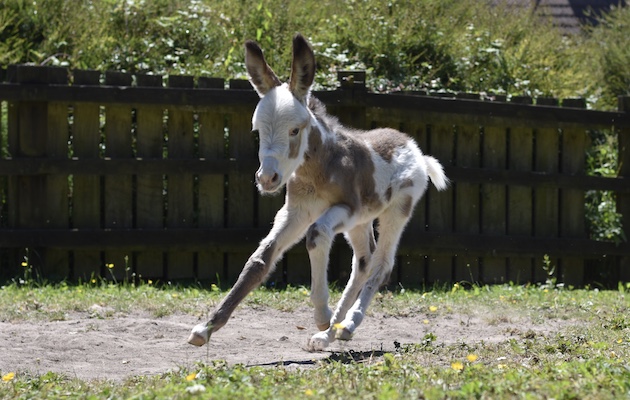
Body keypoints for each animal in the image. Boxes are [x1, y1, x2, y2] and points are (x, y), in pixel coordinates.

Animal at [188, 34, 450, 350]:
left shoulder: (344, 209)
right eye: (257, 131)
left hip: (395, 212)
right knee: (364, 262)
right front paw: (205, 329)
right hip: (362, 221)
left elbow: (315, 236)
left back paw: (345, 325)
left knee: (381, 265)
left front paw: (322, 314)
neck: (317, 169)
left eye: (294, 130)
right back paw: (331, 334)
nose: (267, 179)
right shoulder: (296, 212)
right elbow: (260, 259)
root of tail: (414, 149)